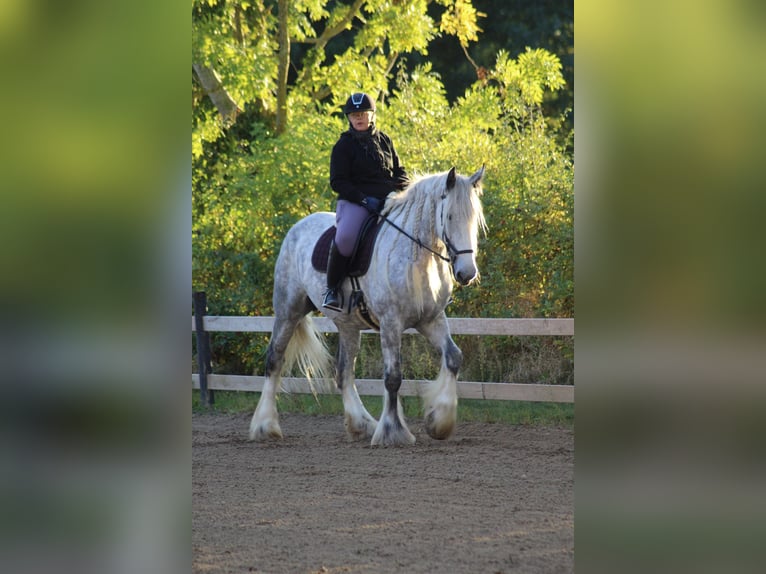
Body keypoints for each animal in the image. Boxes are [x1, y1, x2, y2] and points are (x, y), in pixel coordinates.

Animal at [249, 164, 486, 448]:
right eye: (449, 217)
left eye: (474, 219)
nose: (466, 273)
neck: (416, 256)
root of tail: (299, 225)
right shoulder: (391, 322)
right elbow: (393, 377)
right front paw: (393, 432)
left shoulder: (431, 320)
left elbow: (453, 357)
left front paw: (439, 422)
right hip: (288, 311)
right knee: (274, 360)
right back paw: (265, 426)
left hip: (348, 325)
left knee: (343, 373)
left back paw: (361, 424)